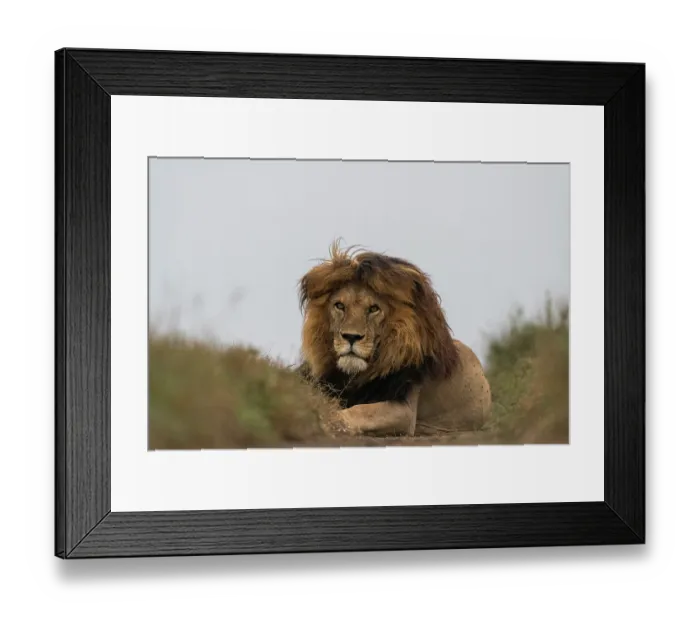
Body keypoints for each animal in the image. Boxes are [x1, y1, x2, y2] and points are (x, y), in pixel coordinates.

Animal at [297, 242, 492, 437]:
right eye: (339, 306)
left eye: (373, 309)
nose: (351, 337)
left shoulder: (405, 411)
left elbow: (362, 411)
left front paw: (327, 421)